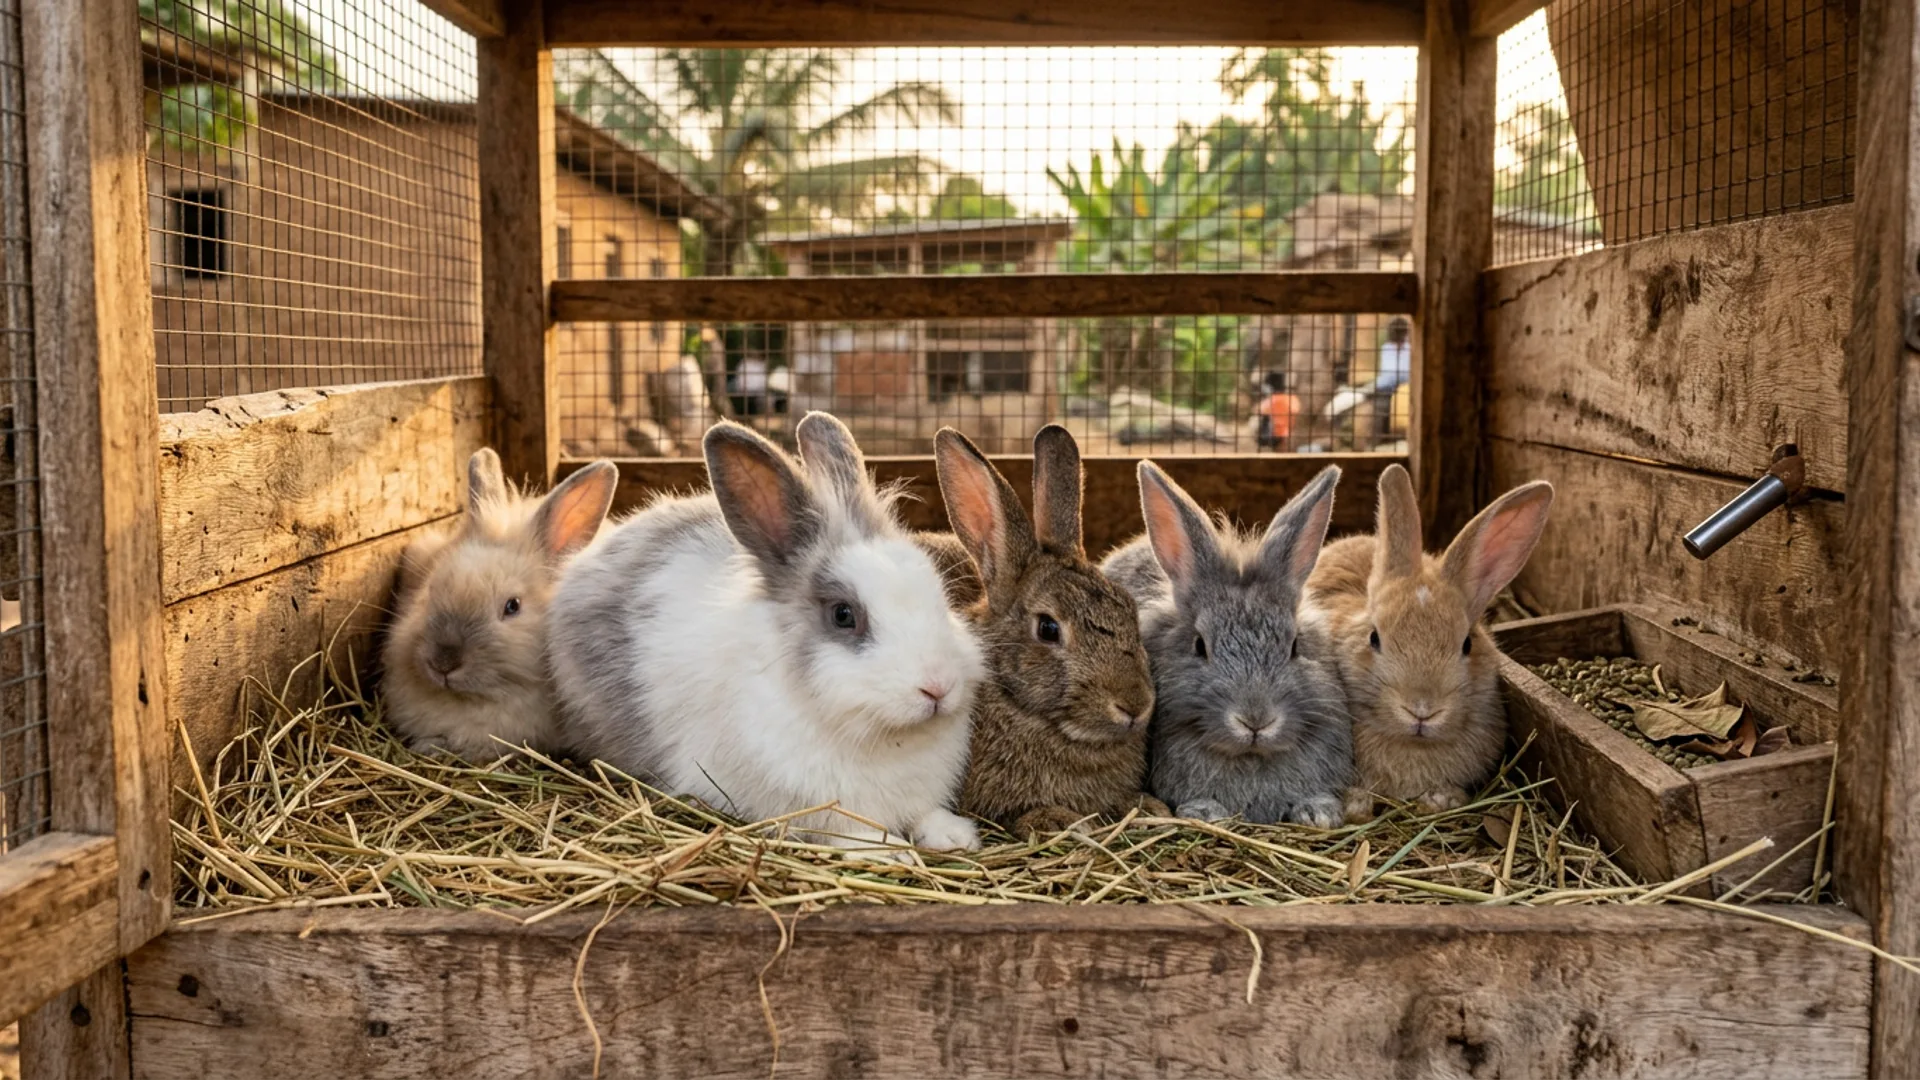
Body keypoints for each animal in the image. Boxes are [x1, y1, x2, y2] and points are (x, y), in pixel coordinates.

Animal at [550, 412, 988, 857]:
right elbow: (848, 829)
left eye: (939, 594)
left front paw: (955, 835)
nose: (937, 687)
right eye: (843, 615)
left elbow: (925, 814)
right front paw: (890, 850)